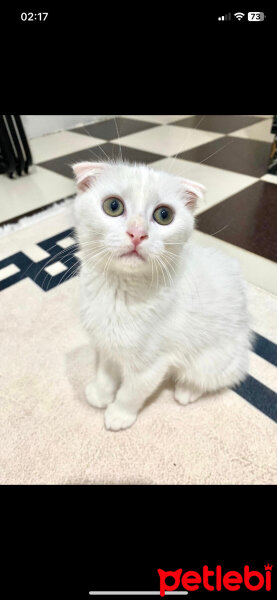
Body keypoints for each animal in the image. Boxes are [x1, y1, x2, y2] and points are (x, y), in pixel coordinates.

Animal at [71, 162, 252, 428]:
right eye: (113, 206)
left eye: (164, 215)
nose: (137, 233)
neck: (118, 292)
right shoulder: (106, 345)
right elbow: (106, 371)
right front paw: (100, 394)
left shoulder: (151, 364)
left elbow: (132, 391)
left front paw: (119, 414)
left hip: (211, 360)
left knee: (217, 378)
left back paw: (187, 390)